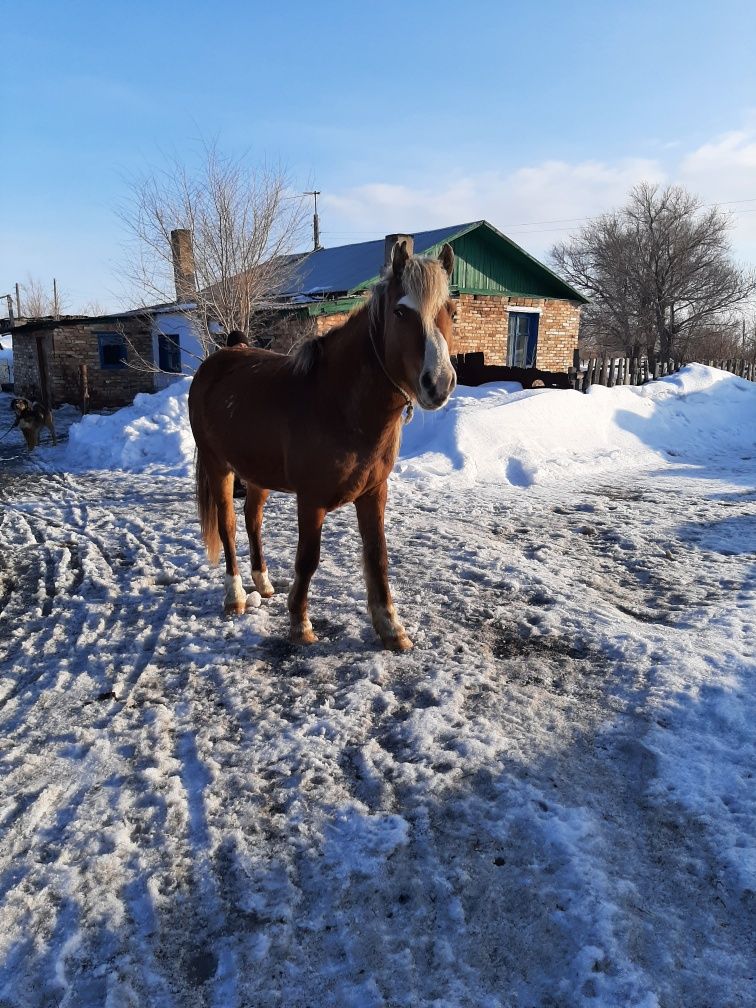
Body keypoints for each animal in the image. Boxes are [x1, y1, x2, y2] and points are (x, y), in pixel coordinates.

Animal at [189, 239, 459, 649]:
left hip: (257, 475)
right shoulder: (311, 500)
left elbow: (377, 556)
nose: (439, 383)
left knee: (253, 521)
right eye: (400, 312)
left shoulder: (374, 493)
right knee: (229, 526)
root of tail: (222, 356)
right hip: (218, 467)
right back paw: (234, 596)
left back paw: (263, 584)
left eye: (453, 313)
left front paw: (391, 628)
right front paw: (300, 624)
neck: (338, 403)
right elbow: (308, 559)